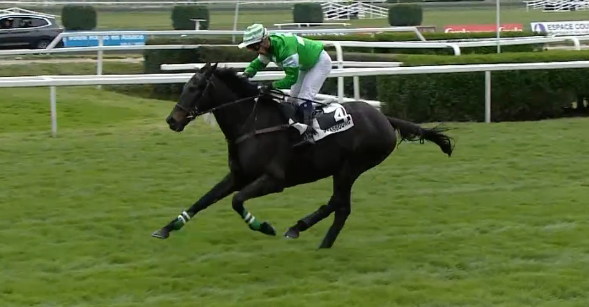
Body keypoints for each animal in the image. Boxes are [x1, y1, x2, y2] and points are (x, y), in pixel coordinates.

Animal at [152, 63, 454, 250]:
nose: (171, 120)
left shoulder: (274, 180)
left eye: (195, 88)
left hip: (351, 167)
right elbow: (203, 200)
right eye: (184, 86)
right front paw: (166, 228)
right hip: (343, 169)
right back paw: (300, 228)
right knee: (336, 203)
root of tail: (384, 118)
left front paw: (264, 227)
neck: (251, 123)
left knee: (341, 206)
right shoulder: (238, 175)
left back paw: (320, 241)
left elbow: (237, 201)